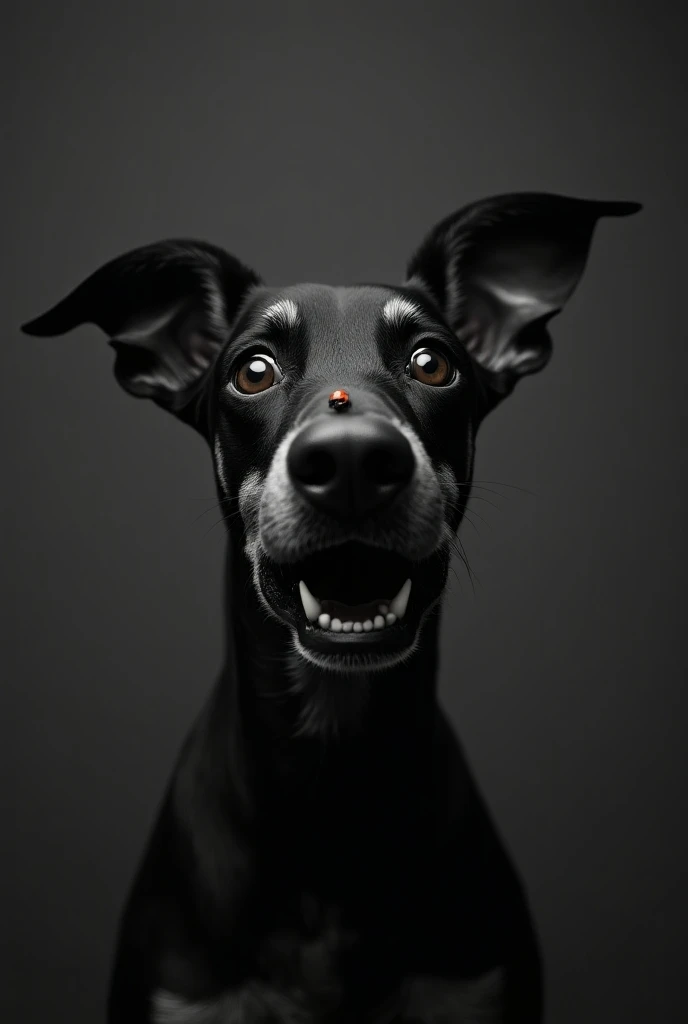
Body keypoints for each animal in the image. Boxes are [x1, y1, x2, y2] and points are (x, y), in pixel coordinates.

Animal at [24, 193, 642, 1024]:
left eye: (433, 361)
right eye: (252, 370)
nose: (352, 459)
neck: (330, 774)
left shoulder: (474, 988)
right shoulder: (181, 996)